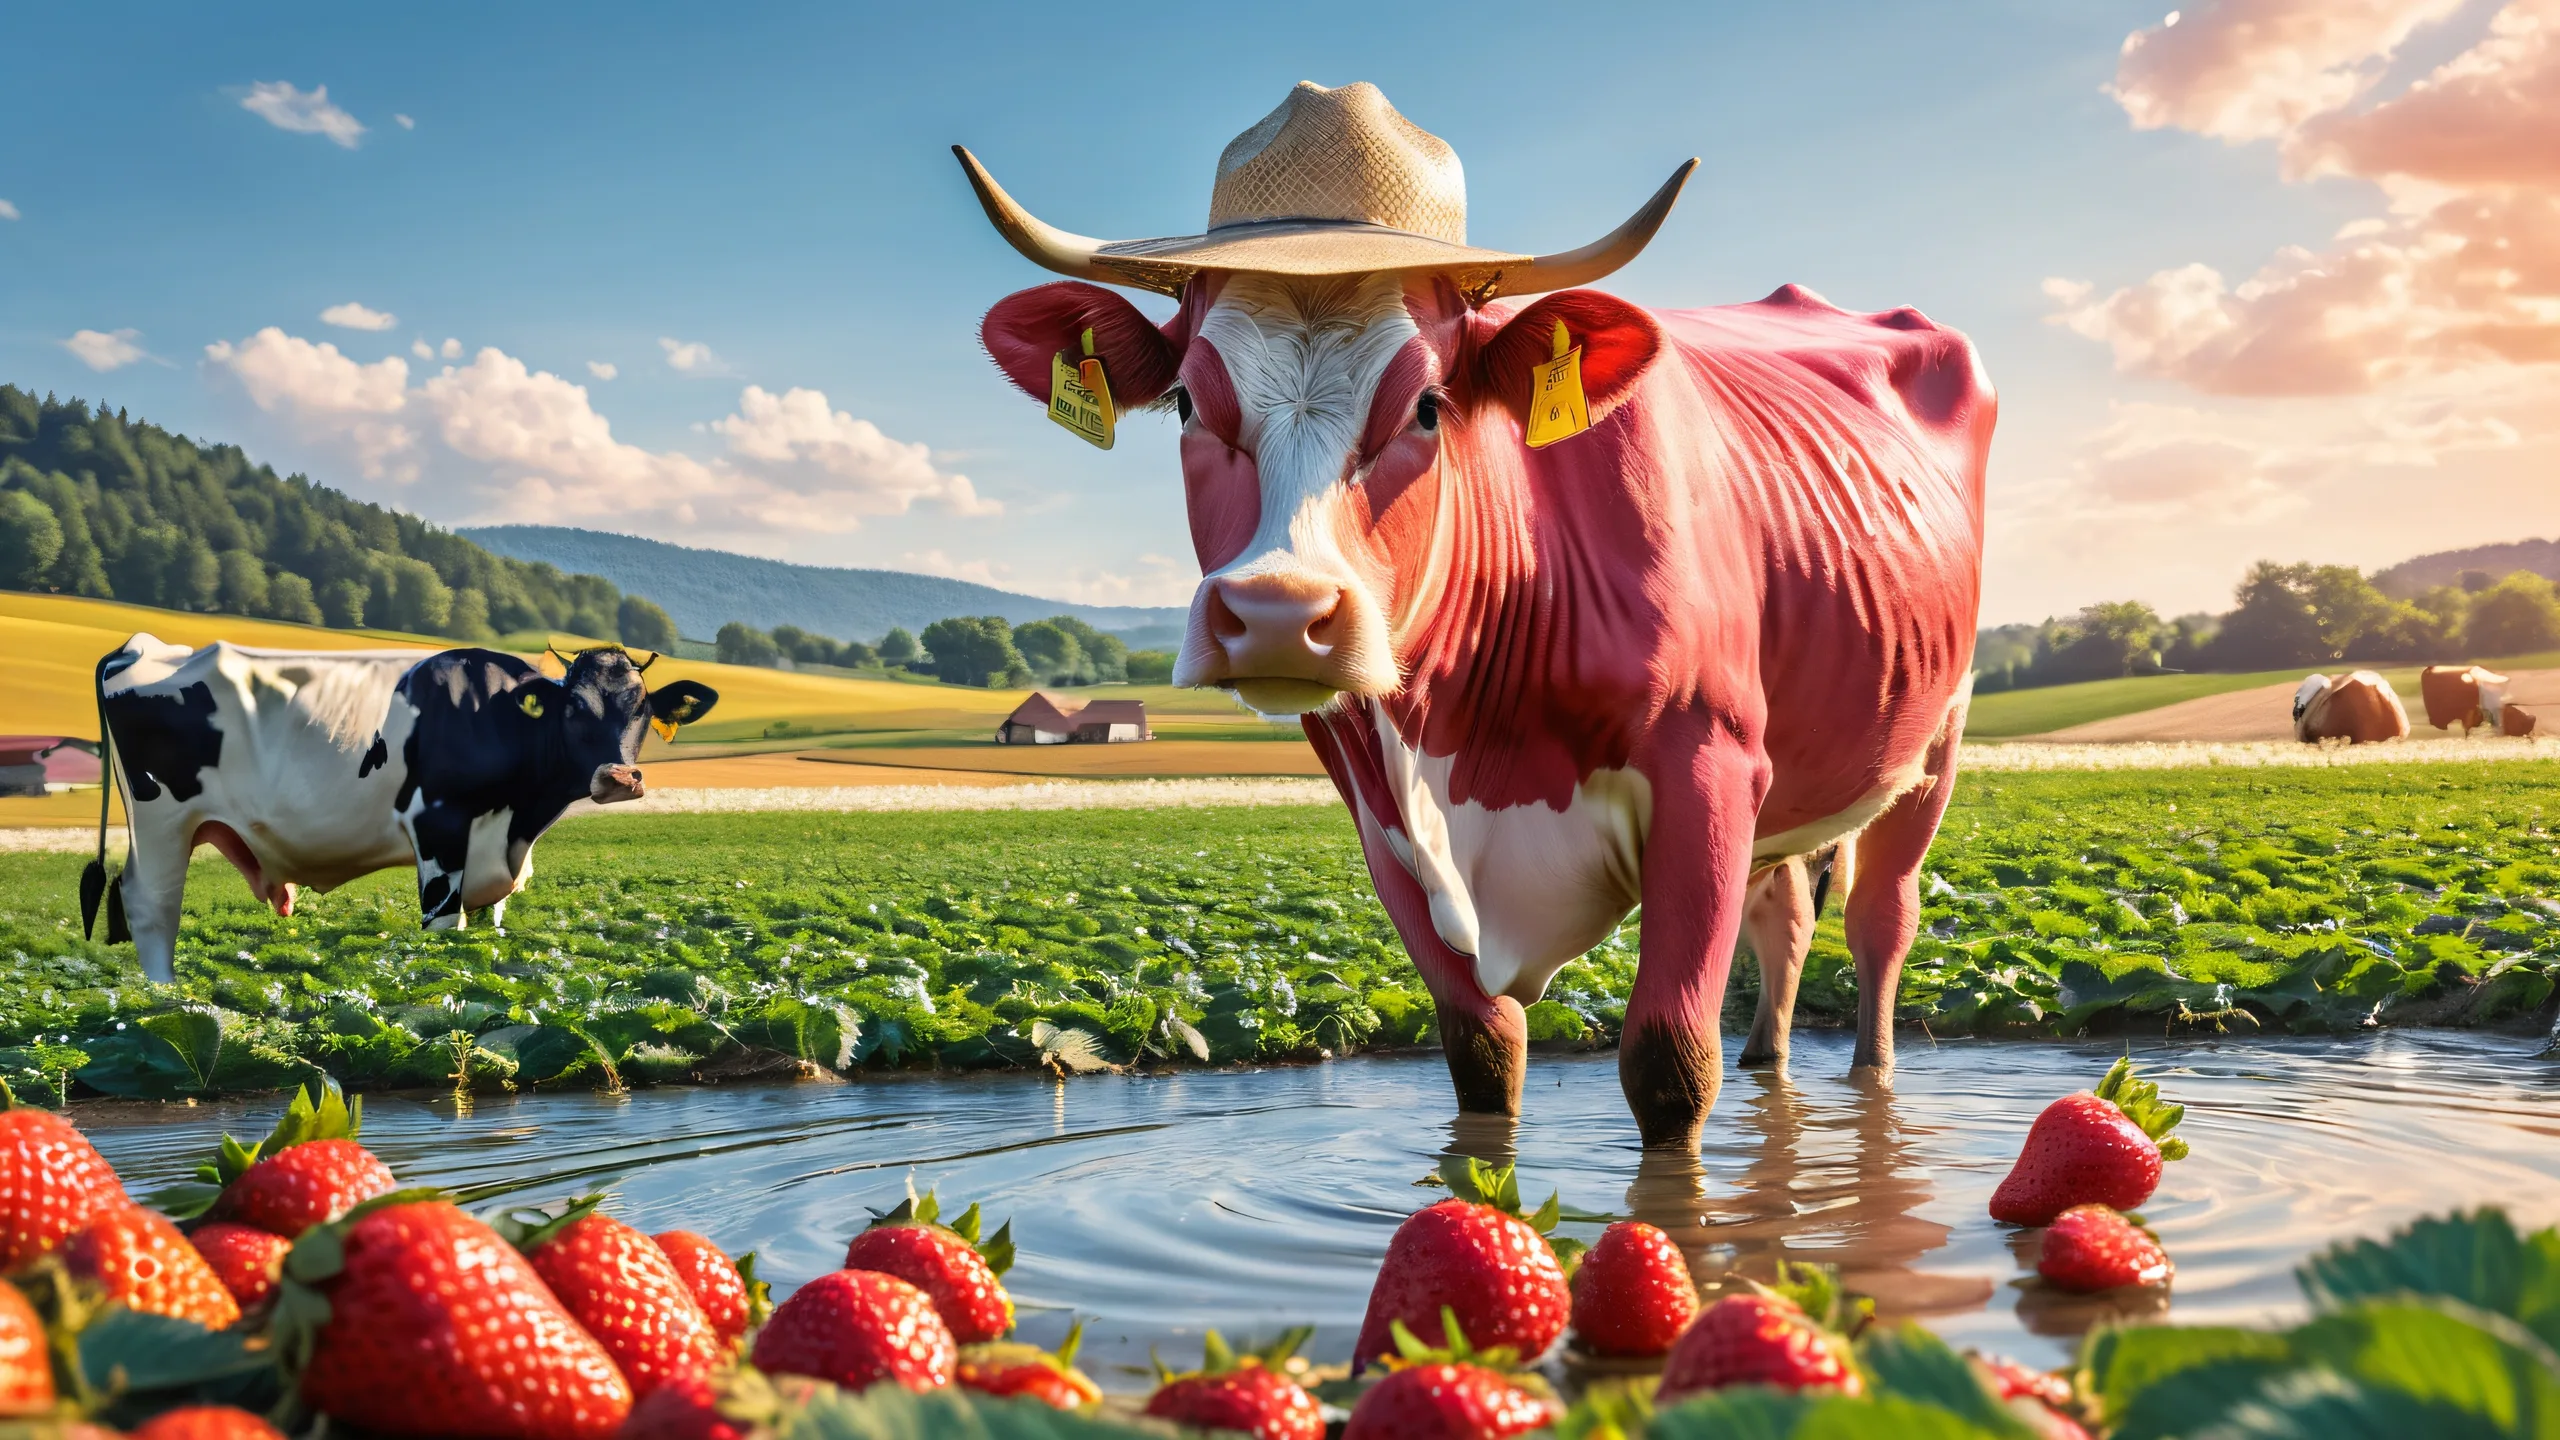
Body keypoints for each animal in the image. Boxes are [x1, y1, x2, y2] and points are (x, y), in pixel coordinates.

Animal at [81, 635, 717, 982]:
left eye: (641, 708)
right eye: (574, 708)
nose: (619, 777)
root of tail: (139, 647)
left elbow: (489, 925)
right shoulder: (439, 823)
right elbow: (443, 926)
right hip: (162, 823)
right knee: (152, 909)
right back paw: (167, 1000)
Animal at [959, 82, 1991, 1147]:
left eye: (1426, 404)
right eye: (1185, 405)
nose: (1280, 612)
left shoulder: (1711, 766)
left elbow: (1669, 1063)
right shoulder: (1383, 818)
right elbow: (1483, 1054)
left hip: (1934, 738)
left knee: (1881, 920)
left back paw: (1871, 1074)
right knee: (1784, 919)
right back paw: (1769, 1064)